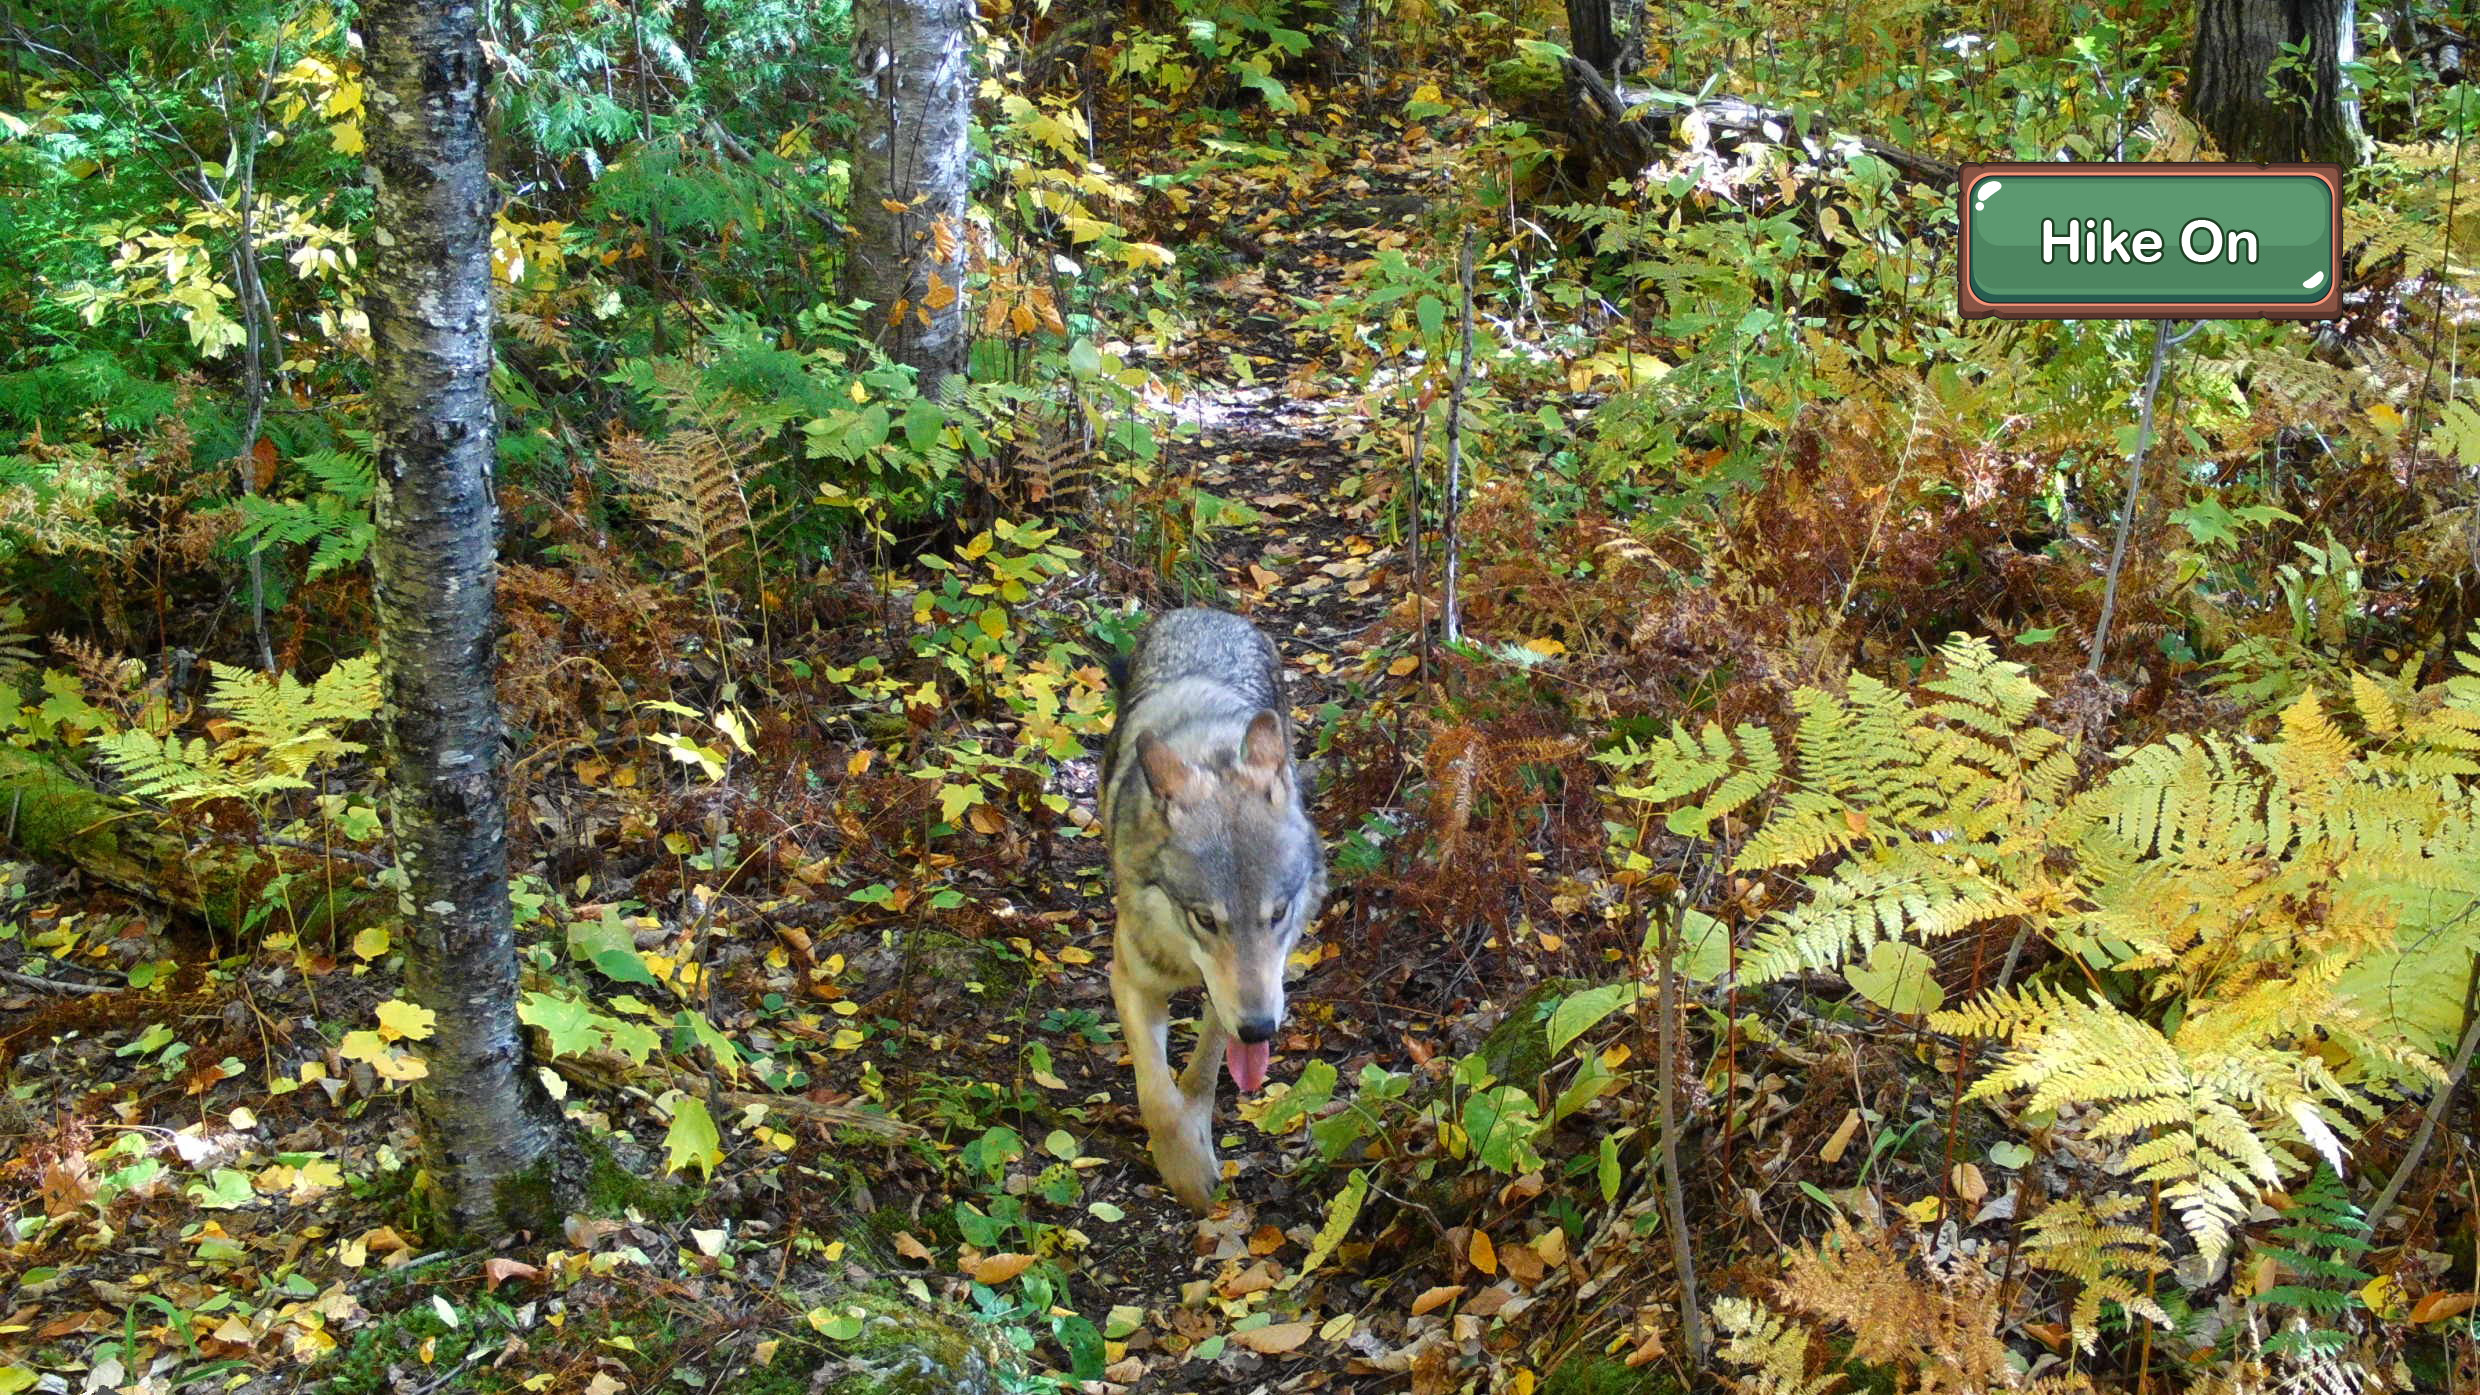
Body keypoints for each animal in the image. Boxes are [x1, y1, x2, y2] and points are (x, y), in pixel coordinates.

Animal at [1099, 608, 1326, 1211]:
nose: (1260, 1028)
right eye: (1205, 919)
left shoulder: (1241, 999)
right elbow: (1156, 1097)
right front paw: (1186, 1172)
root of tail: (1205, 610)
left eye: (1277, 914)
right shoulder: (1129, 980)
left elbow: (1201, 1073)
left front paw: (1197, 1143)